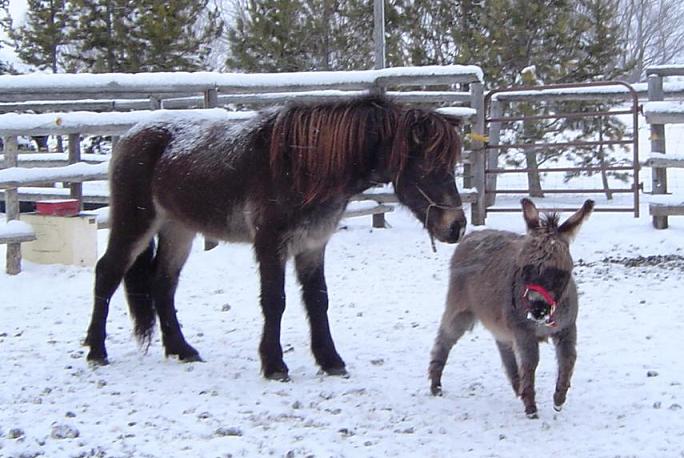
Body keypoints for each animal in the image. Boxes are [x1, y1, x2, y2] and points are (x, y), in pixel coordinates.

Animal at [85, 95, 468, 381]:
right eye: (427, 166)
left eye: (451, 166)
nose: (457, 226)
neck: (302, 166)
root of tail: (131, 135)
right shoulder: (270, 245)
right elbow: (275, 301)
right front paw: (274, 365)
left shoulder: (313, 245)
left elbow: (318, 301)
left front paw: (330, 360)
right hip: (135, 223)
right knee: (108, 273)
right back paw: (96, 351)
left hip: (179, 229)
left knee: (162, 284)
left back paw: (182, 350)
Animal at [428, 198, 593, 418]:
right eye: (525, 268)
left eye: (559, 272)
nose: (537, 310)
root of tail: (471, 235)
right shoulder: (523, 331)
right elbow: (531, 363)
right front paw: (531, 408)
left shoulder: (566, 328)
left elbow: (568, 359)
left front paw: (558, 399)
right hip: (461, 309)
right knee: (444, 339)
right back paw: (435, 384)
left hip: (501, 323)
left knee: (504, 348)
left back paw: (518, 388)